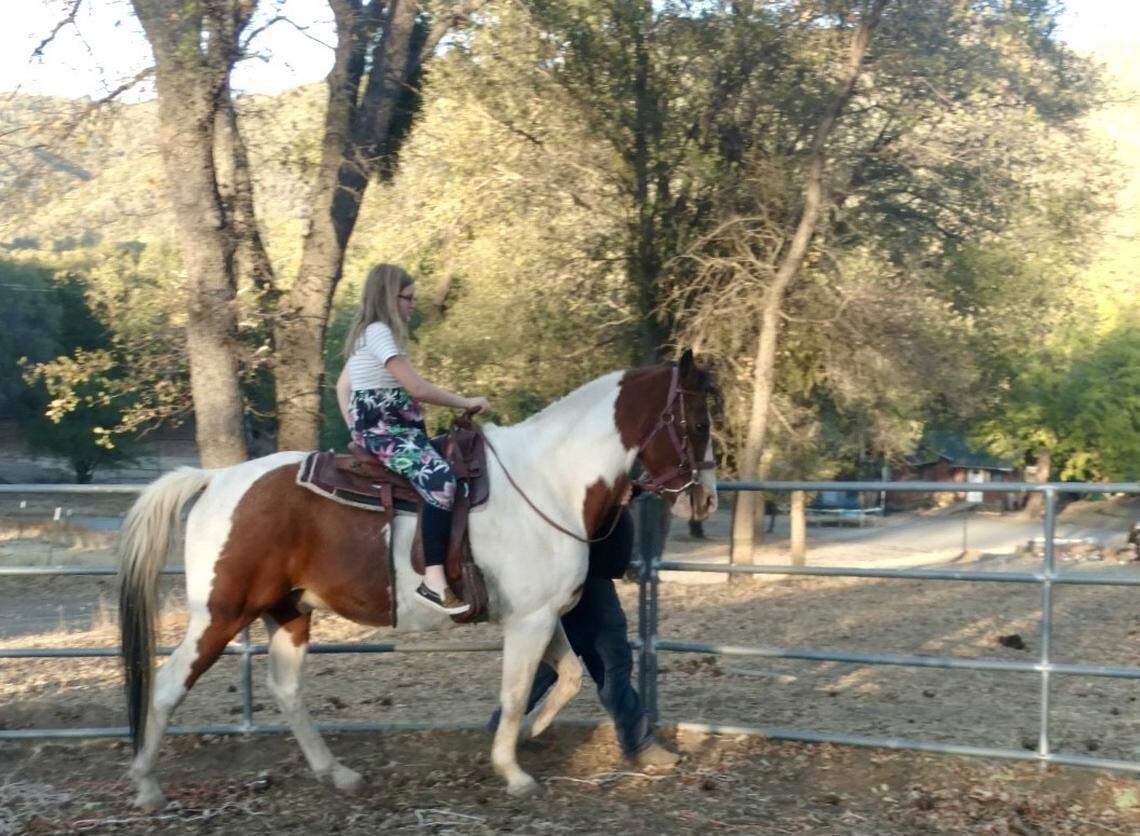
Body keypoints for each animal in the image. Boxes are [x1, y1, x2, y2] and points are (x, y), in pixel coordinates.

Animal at [118, 351, 718, 809]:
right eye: (698, 423)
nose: (707, 497)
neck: (548, 480)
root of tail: (217, 479)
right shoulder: (529, 621)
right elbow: (517, 690)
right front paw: (514, 771)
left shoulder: (540, 616)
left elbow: (565, 678)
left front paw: (527, 734)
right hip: (219, 616)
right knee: (168, 688)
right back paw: (145, 786)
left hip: (289, 612)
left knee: (286, 690)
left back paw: (337, 773)